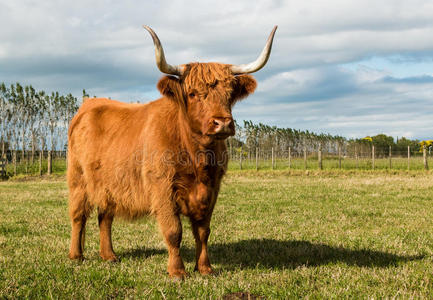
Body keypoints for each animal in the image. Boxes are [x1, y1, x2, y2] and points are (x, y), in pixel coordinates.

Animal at [67, 25, 276, 278]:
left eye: (229, 94)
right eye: (193, 93)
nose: (223, 123)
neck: (197, 156)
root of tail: (90, 103)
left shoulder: (211, 189)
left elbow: (203, 231)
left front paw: (204, 268)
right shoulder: (162, 187)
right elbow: (174, 231)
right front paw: (177, 272)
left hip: (109, 184)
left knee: (105, 216)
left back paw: (109, 256)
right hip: (78, 178)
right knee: (78, 215)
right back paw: (76, 255)